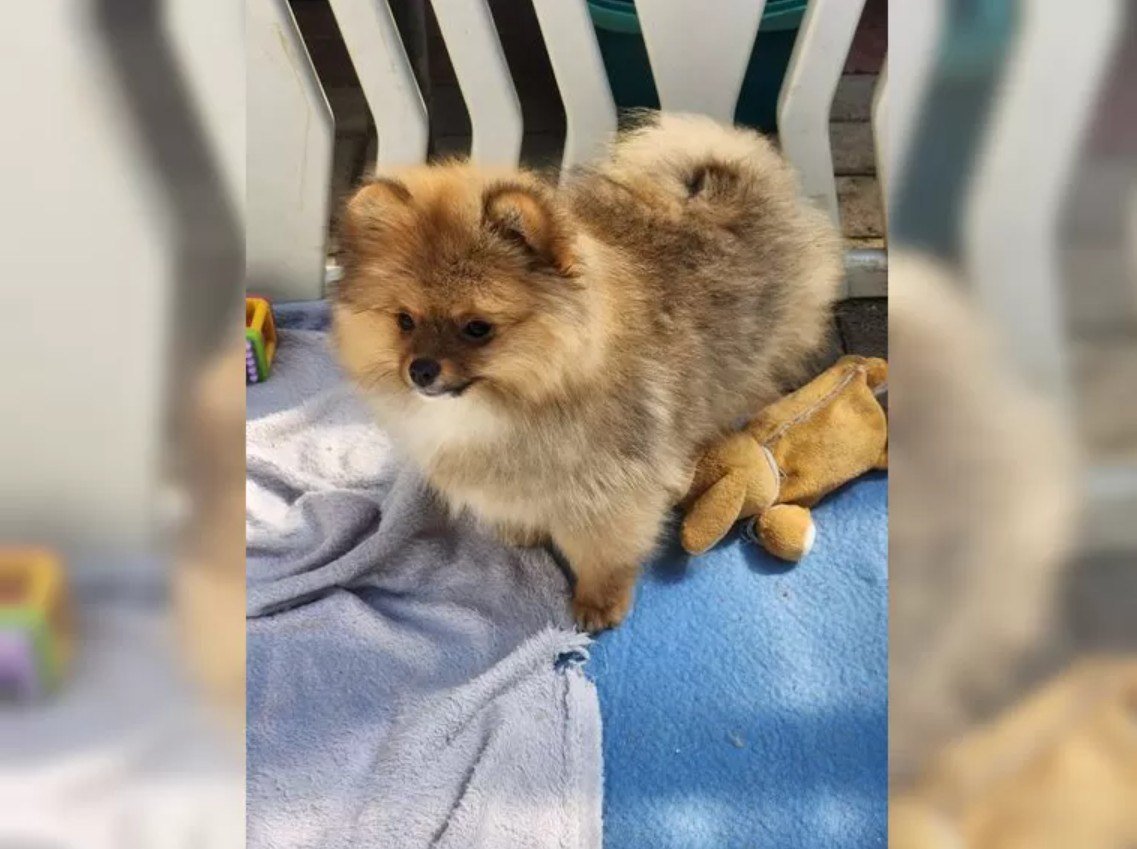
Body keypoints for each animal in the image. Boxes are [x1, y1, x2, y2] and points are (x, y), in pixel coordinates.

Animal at [332, 113, 842, 630]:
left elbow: (602, 552)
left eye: (476, 328)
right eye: (404, 320)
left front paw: (599, 603)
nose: (421, 370)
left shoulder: (607, 492)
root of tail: (732, 172)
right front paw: (523, 531)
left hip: (766, 350)